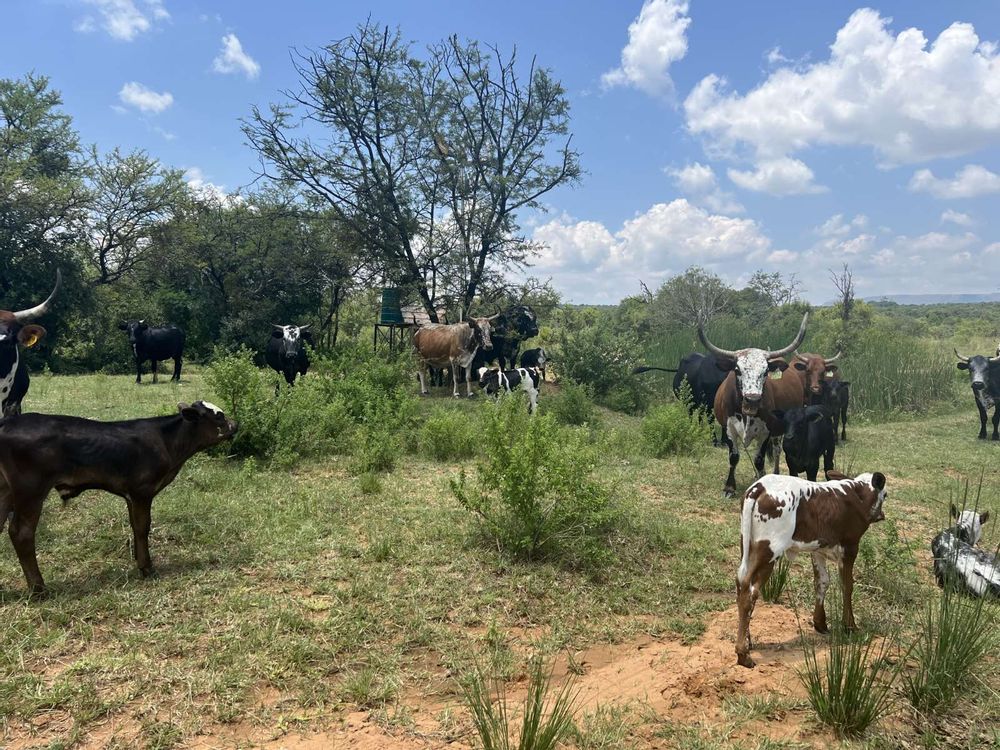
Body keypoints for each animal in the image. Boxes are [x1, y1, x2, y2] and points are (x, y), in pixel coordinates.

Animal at [0, 401, 237, 596]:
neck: (167, 442)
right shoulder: (142, 491)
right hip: (30, 491)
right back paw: (39, 589)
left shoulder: (130, 495)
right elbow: (142, 527)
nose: (236, 424)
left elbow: (134, 525)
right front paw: (146, 568)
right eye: (218, 416)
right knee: (21, 533)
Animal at [700, 313, 808, 497]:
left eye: (765, 372)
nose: (752, 400)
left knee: (777, 451)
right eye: (737, 369)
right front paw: (729, 487)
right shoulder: (729, 429)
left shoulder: (766, 432)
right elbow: (734, 457)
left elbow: (759, 460)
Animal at [735, 471, 888, 668]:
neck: (857, 493)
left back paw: (748, 641)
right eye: (885, 495)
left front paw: (820, 623)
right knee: (750, 591)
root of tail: (760, 486)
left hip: (747, 546)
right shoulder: (850, 546)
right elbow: (847, 586)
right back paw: (743, 654)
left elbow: (822, 582)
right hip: (768, 552)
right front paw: (850, 626)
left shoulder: (818, 549)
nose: (882, 515)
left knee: (741, 585)